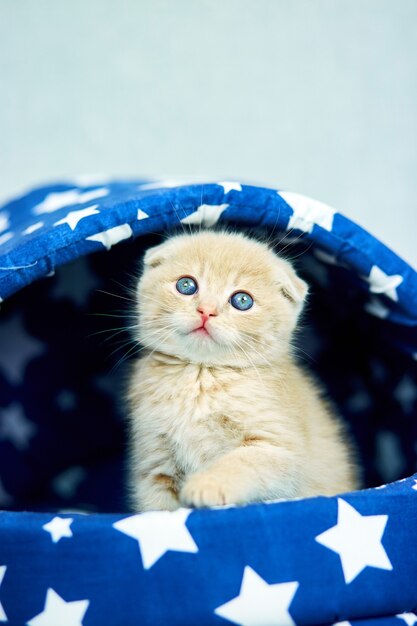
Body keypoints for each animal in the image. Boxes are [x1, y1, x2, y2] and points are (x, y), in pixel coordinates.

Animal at [125, 227, 360, 510]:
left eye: (242, 300)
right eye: (186, 285)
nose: (206, 311)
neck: (201, 376)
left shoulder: (280, 450)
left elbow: (242, 462)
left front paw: (207, 485)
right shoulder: (155, 464)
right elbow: (157, 508)